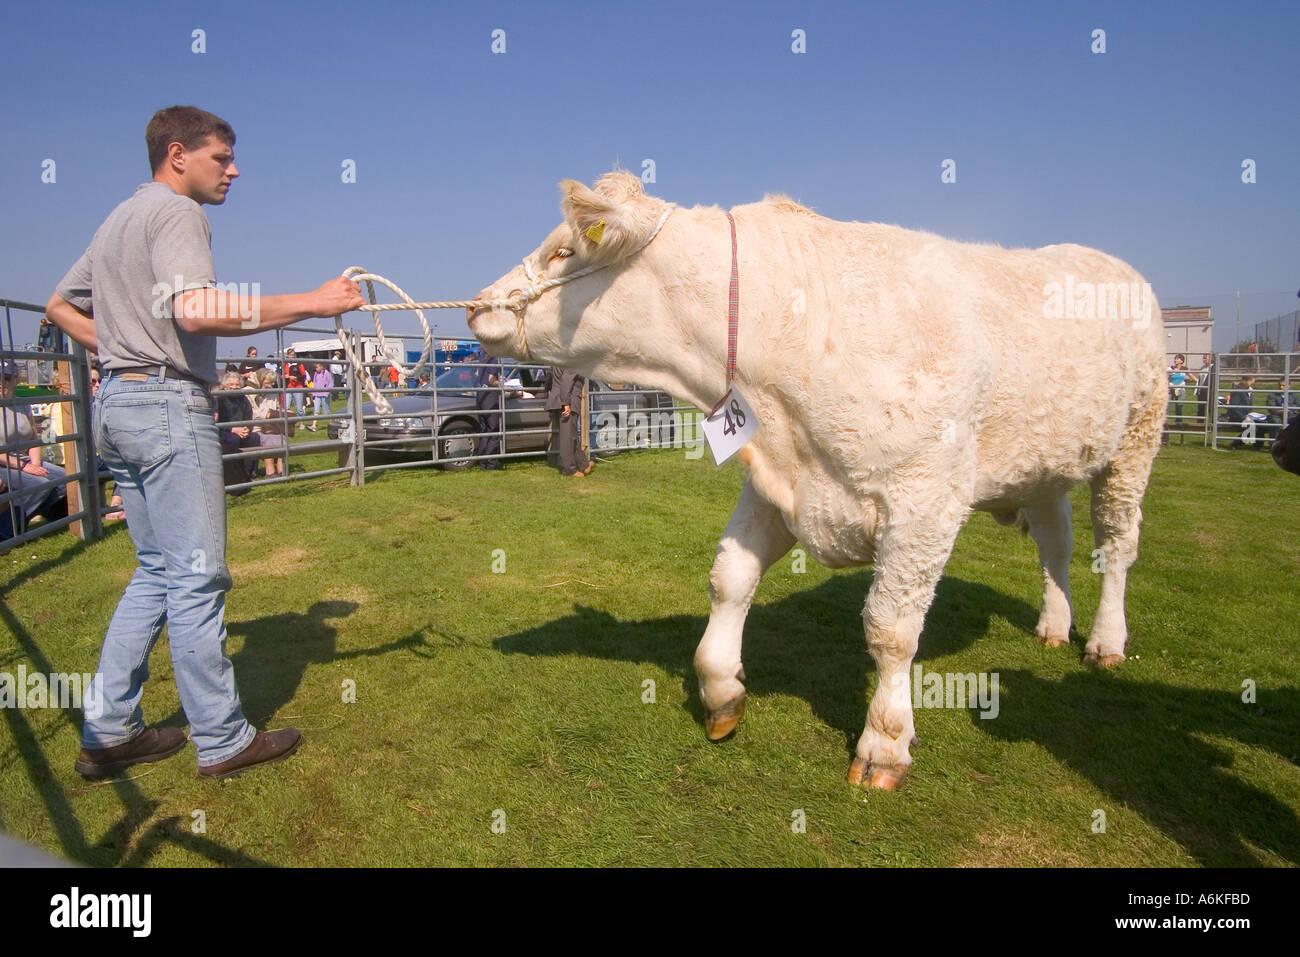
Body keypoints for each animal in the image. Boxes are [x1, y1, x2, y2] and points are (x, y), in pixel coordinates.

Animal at [468, 171, 1166, 789]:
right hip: (1044, 464)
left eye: (564, 249)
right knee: (1057, 544)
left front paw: (884, 744)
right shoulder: (778, 486)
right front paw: (721, 691)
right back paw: (1053, 624)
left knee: (1116, 546)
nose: (475, 307)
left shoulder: (925, 502)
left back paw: (1104, 640)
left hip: (1135, 442)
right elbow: (730, 579)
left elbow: (891, 628)